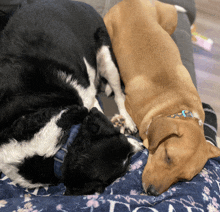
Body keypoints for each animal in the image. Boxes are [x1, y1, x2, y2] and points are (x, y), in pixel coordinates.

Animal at [0, 0, 141, 195]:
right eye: (126, 163)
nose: (142, 147)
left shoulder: (88, 98)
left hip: (107, 57)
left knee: (119, 95)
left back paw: (127, 119)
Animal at [104, 0, 220, 195]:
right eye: (167, 157)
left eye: (183, 179)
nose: (152, 192)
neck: (176, 107)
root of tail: (131, 1)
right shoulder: (129, 101)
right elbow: (122, 104)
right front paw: (126, 121)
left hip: (169, 21)